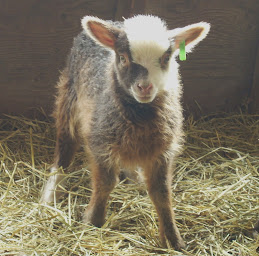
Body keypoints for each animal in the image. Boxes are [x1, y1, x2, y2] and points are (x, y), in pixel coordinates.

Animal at [40, 15, 211, 251]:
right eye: (122, 58)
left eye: (166, 58)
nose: (144, 87)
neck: (140, 116)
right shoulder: (100, 143)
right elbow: (104, 183)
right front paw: (93, 221)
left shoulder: (163, 151)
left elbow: (161, 192)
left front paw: (173, 239)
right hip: (69, 98)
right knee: (64, 149)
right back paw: (49, 195)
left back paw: (135, 179)